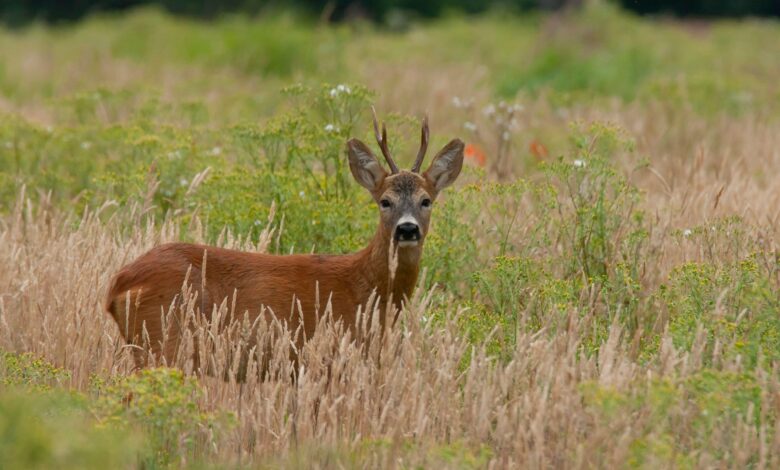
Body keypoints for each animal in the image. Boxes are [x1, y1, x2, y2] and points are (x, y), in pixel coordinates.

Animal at [106, 108, 466, 370]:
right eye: (385, 201)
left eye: (426, 200)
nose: (407, 229)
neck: (365, 287)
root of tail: (117, 285)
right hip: (162, 339)